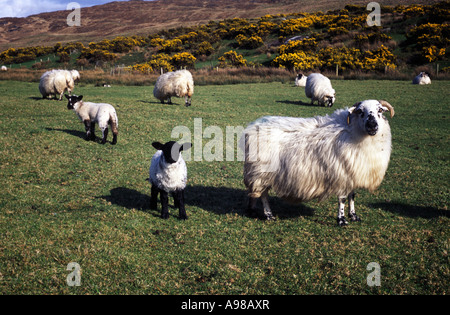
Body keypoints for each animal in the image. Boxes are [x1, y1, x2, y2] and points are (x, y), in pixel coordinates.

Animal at [239, 100, 394, 226]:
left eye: (380, 110)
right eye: (360, 111)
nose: (372, 124)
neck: (352, 131)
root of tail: (253, 126)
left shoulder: (352, 173)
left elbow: (352, 196)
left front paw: (354, 216)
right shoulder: (342, 173)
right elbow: (343, 199)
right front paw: (341, 220)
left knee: (255, 192)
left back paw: (252, 210)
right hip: (261, 172)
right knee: (263, 194)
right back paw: (268, 215)